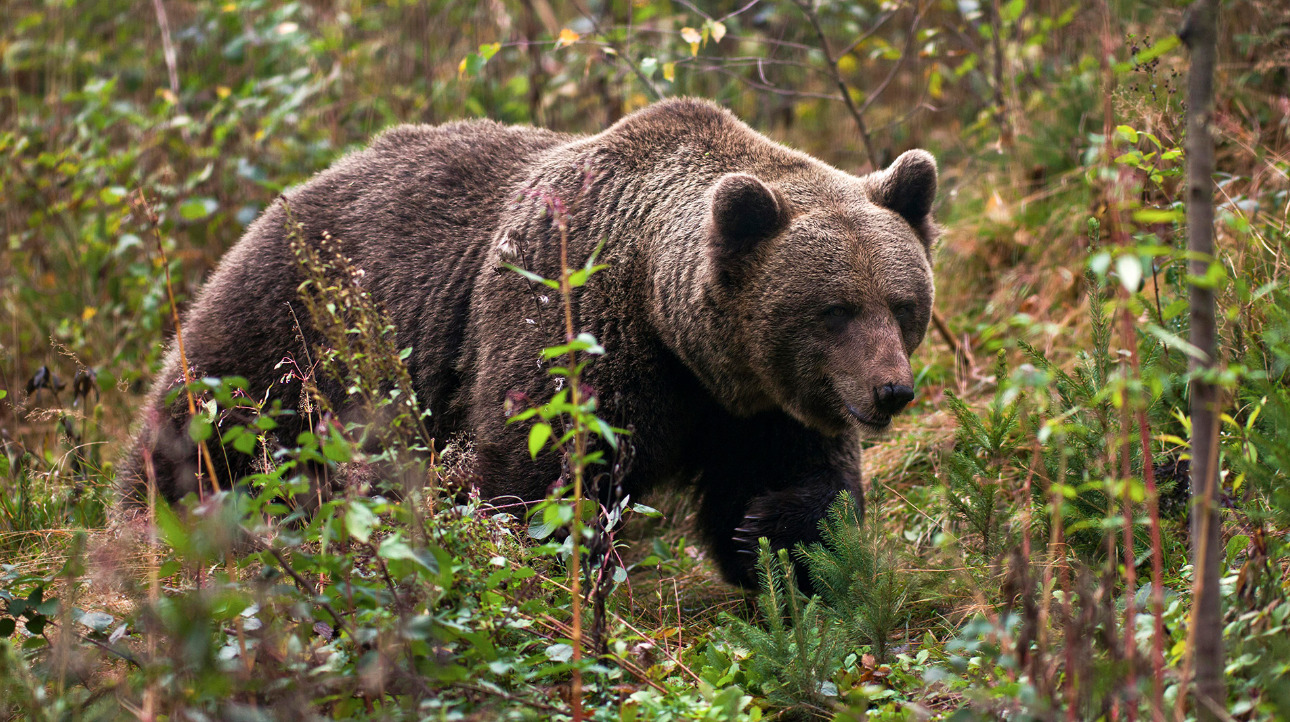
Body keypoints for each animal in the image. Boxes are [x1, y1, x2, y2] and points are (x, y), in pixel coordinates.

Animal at [118, 98, 938, 588]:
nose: (891, 391)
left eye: (902, 305)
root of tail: (290, 192)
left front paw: (772, 539)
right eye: (834, 310)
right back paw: (149, 538)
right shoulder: (572, 321)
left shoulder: (754, 402)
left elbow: (803, 485)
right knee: (204, 435)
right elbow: (539, 479)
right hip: (297, 330)